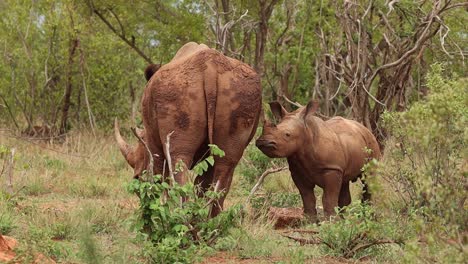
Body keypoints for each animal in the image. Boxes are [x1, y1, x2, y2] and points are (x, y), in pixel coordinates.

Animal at [115, 43, 262, 216]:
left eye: (141, 141)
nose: (136, 177)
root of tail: (210, 68)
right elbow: (202, 183)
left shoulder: (152, 142)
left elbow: (159, 175)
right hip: (240, 92)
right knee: (227, 163)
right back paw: (212, 222)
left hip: (177, 93)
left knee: (180, 161)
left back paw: (180, 217)